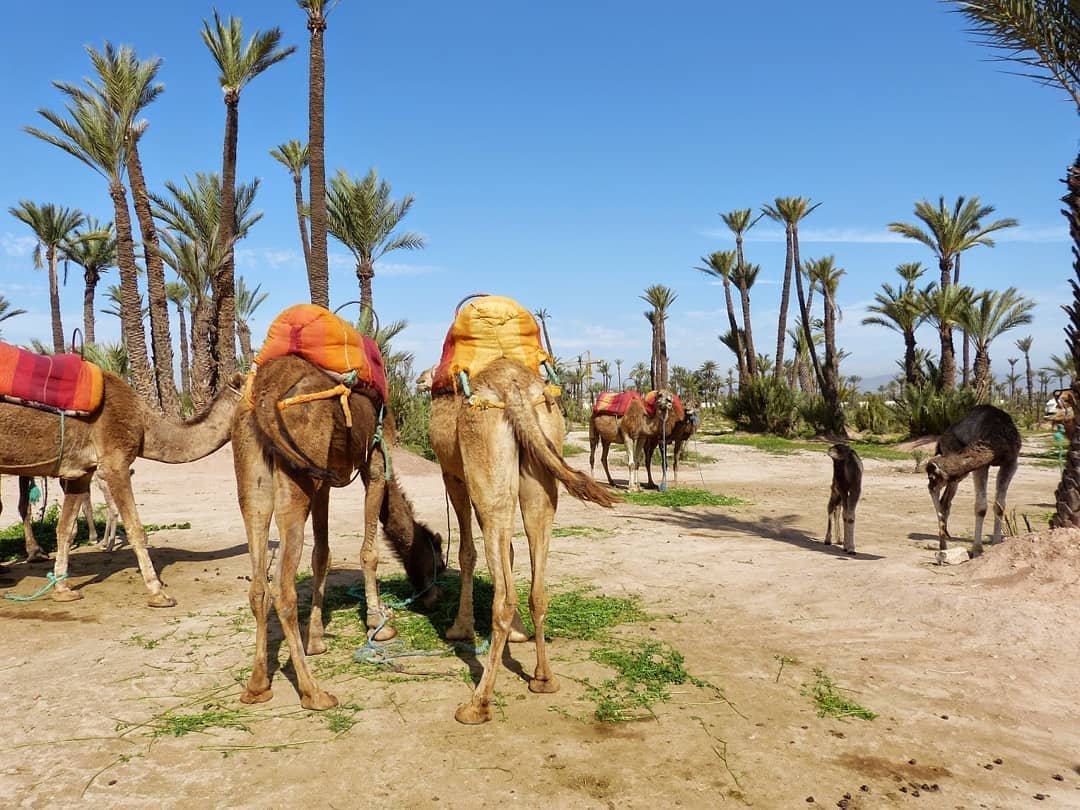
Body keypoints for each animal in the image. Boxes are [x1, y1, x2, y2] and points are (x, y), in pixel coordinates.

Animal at [0, 372, 242, 606]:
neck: (144, 424)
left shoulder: (81, 473)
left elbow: (65, 529)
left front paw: (63, 590)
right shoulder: (116, 463)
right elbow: (136, 529)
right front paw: (158, 593)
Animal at [232, 354, 443, 711]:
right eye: (438, 561)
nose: (434, 597)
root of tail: (264, 390)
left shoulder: (325, 480)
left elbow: (323, 555)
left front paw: (316, 639)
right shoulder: (376, 461)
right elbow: (369, 552)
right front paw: (378, 623)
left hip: (253, 476)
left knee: (258, 585)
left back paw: (257, 685)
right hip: (296, 473)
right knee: (282, 589)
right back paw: (314, 692)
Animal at [430, 358, 617, 724]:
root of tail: (512, 385)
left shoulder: (452, 476)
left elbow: (466, 552)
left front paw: (459, 628)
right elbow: (511, 553)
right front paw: (519, 634)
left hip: (485, 458)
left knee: (502, 591)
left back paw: (477, 704)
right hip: (542, 456)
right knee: (538, 587)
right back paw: (544, 679)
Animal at [925, 404, 1021, 557]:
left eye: (931, 476)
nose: (931, 481)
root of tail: (940, 441)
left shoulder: (1011, 462)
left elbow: (1000, 506)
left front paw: (996, 544)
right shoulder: (981, 467)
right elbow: (981, 507)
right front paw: (977, 550)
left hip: (957, 475)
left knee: (945, 501)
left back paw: (944, 545)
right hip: (955, 464)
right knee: (940, 497)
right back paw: (943, 542)